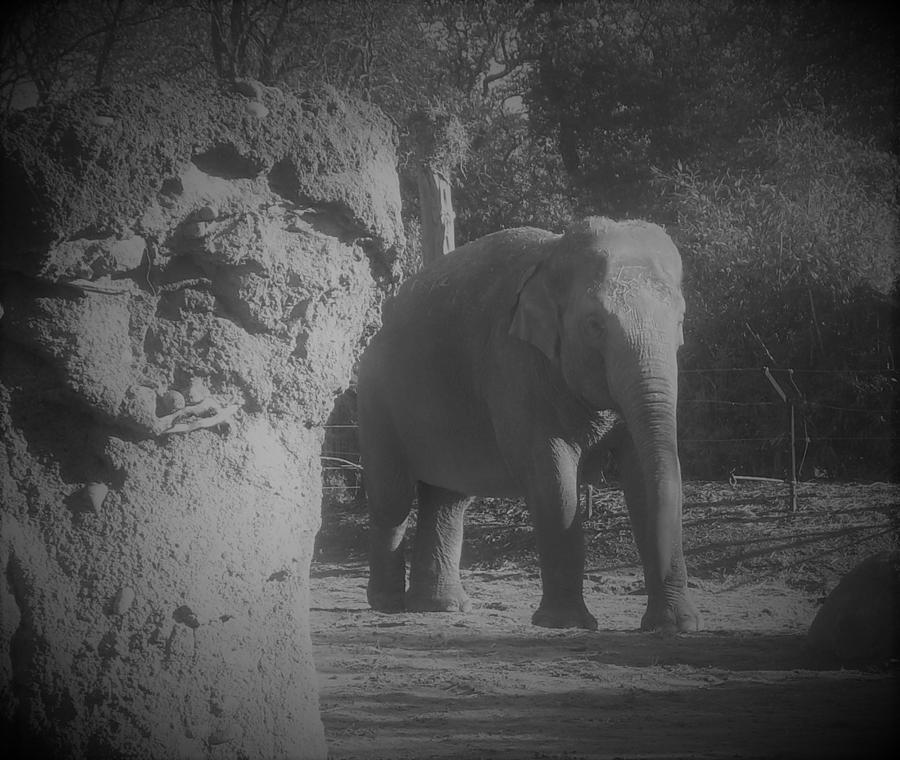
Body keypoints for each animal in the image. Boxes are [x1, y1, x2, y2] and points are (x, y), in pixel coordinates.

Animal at [356, 217, 700, 632]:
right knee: (393, 496)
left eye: (680, 321)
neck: (553, 256)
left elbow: (641, 476)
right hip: (375, 400)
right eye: (594, 324)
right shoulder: (514, 367)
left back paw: (442, 607)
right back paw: (388, 604)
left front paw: (675, 626)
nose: (671, 624)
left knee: (448, 498)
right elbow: (551, 478)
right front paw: (565, 623)